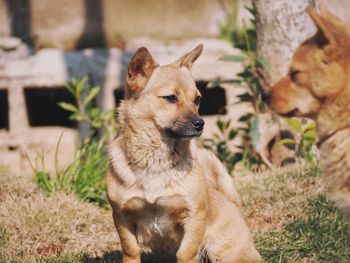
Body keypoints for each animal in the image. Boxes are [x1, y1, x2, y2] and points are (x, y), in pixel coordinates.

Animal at [105, 44, 262, 262]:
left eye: (198, 99)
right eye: (171, 98)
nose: (200, 123)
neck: (156, 158)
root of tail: (234, 205)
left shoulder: (194, 217)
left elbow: (186, 252)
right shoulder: (122, 217)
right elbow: (131, 250)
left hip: (225, 253)